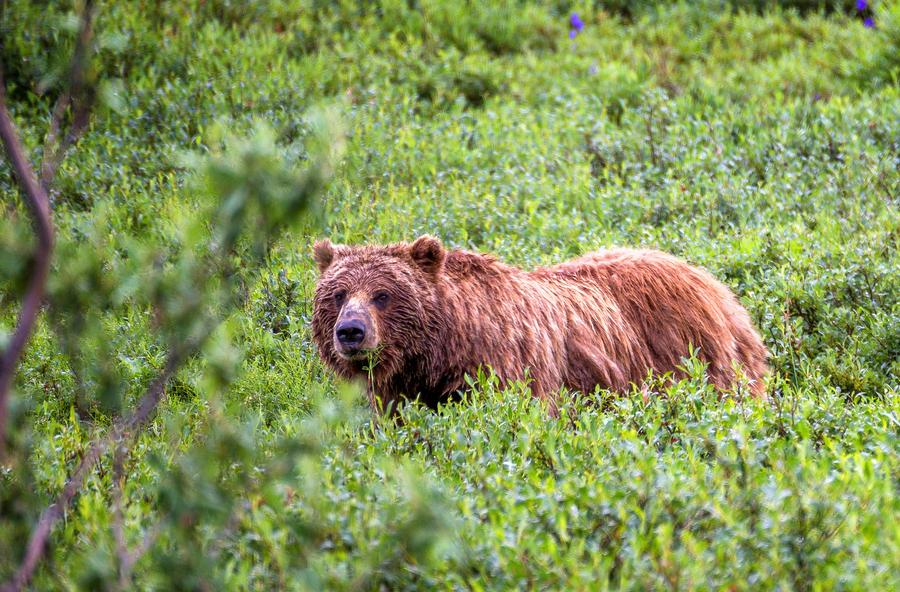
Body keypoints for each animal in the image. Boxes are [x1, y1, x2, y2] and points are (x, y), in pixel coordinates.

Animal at [312, 235, 768, 415]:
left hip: (695, 357)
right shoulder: (402, 388)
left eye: (382, 295)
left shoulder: (506, 368)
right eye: (337, 295)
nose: (350, 332)